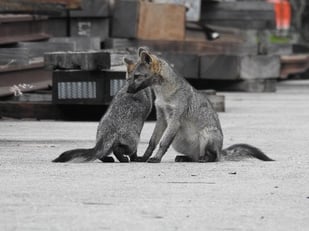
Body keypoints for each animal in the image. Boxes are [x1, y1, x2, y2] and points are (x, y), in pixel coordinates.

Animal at [125, 47, 272, 162]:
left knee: (212, 157)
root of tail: (220, 151)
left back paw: (205, 159)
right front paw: (144, 157)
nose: (127, 90)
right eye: (129, 77)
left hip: (206, 135)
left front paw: (156, 158)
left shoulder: (175, 120)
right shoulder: (161, 118)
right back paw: (186, 158)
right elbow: (152, 142)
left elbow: (163, 143)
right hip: (179, 143)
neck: (163, 94)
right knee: (194, 157)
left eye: (137, 76)